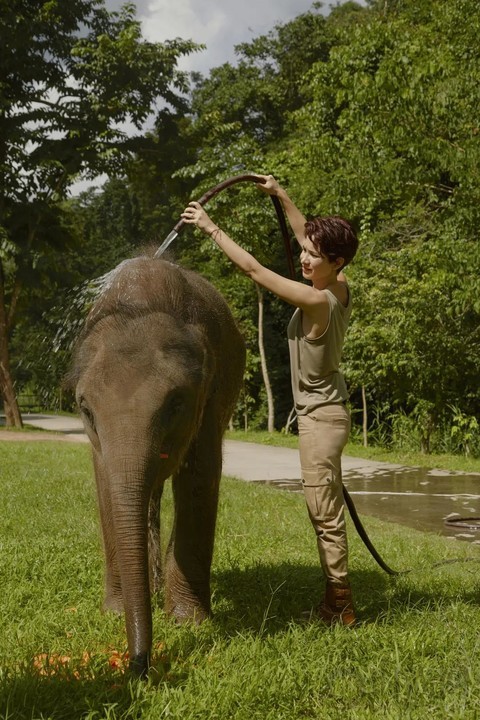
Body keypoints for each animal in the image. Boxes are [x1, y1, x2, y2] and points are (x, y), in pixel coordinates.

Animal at [67, 256, 246, 676]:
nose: (139, 665)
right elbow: (106, 484)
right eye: (85, 409)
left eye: (176, 404)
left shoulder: (210, 396)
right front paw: (116, 612)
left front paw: (188, 621)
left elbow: (199, 477)